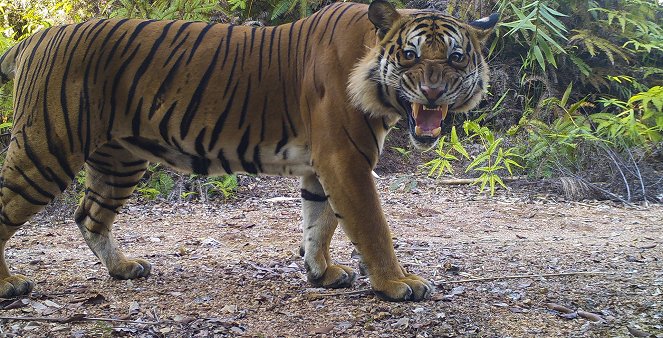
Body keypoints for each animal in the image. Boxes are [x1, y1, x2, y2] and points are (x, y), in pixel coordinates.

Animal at [0, 0, 498, 302]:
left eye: (455, 57)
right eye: (410, 55)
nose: (433, 92)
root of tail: (33, 39)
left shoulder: (321, 168)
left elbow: (319, 223)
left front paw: (321, 273)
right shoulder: (346, 160)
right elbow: (372, 227)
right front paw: (397, 283)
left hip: (119, 159)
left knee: (89, 215)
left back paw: (124, 268)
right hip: (48, 147)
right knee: (11, 207)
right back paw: (10, 284)